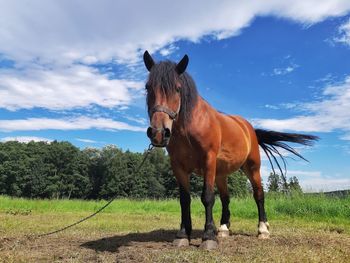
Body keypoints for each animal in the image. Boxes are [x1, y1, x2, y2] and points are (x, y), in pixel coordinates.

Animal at [142, 50, 318, 251]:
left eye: (178, 89)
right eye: (148, 87)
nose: (158, 133)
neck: (190, 127)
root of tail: (249, 128)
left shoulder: (208, 161)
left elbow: (207, 197)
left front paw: (208, 237)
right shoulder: (178, 166)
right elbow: (185, 200)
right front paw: (183, 234)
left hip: (252, 168)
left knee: (259, 195)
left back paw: (263, 229)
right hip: (221, 174)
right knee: (226, 198)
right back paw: (224, 228)